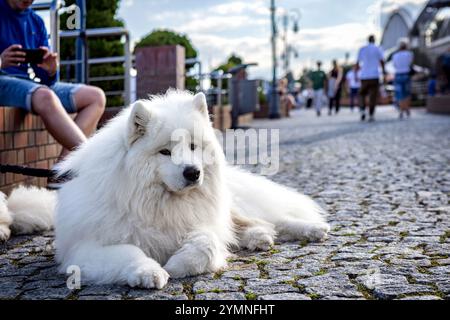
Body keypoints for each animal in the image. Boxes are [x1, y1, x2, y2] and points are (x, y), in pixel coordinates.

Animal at [1, 91, 328, 288]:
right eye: (165, 152)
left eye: (193, 146)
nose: (193, 172)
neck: (159, 203)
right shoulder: (86, 250)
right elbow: (129, 251)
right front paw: (150, 272)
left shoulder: (202, 224)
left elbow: (207, 244)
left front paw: (178, 265)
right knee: (254, 224)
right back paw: (258, 237)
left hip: (235, 205)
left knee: (270, 219)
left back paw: (310, 229)